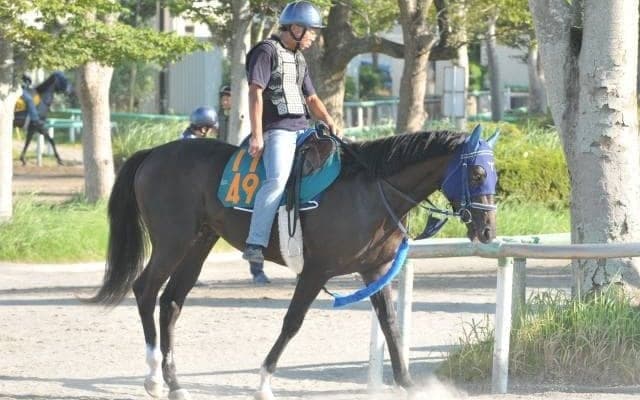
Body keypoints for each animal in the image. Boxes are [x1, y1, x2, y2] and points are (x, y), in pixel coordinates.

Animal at [89, 127, 498, 399]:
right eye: (477, 173)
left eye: (494, 173)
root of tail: (154, 153)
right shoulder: (316, 271)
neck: (371, 190)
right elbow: (292, 323)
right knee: (145, 291)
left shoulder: (375, 271)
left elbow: (391, 327)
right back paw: (154, 378)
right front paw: (263, 381)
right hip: (173, 242)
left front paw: (409, 386)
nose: (488, 229)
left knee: (171, 301)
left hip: (199, 243)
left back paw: (174, 382)